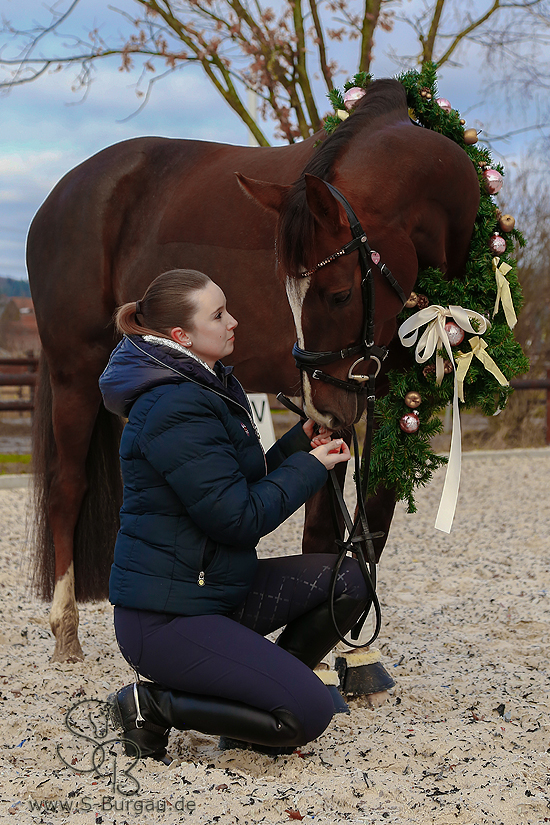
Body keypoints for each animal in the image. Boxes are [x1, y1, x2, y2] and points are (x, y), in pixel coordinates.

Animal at [26, 78, 480, 663]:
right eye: (295, 292)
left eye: (338, 294)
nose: (325, 407)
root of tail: (63, 191)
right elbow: (324, 531)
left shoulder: (396, 402)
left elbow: (370, 525)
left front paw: (353, 650)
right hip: (74, 373)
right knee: (68, 488)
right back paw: (65, 630)